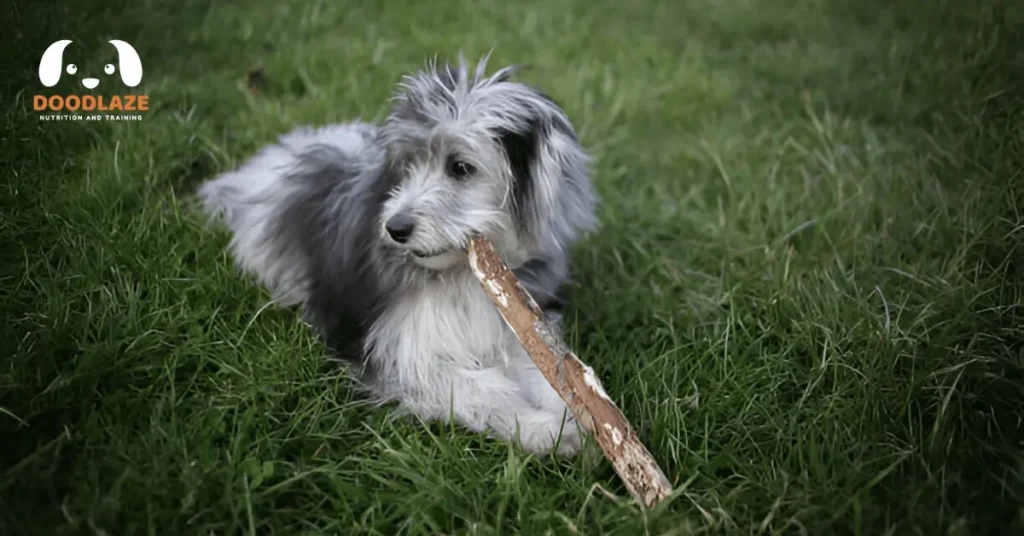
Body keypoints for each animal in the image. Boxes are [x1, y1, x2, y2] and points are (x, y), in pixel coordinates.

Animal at [197, 53, 598, 457]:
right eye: (407, 167)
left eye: (460, 167)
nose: (395, 228)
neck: (460, 273)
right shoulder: (397, 350)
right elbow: (478, 387)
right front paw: (541, 428)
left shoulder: (516, 327)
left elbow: (547, 374)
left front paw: (575, 417)